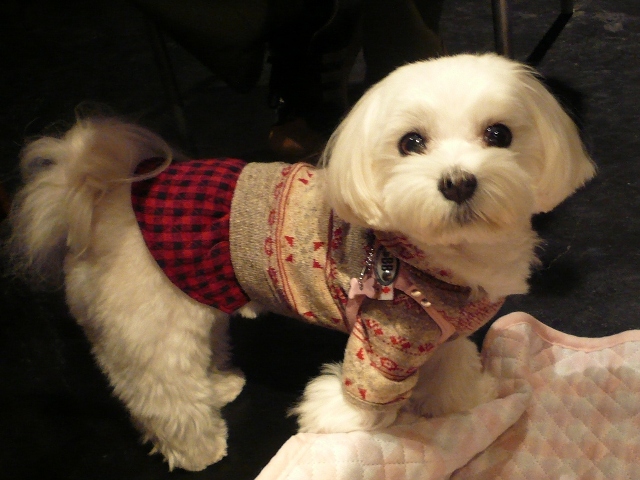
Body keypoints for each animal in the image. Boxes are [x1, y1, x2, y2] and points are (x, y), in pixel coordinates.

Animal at [7, 54, 595, 471]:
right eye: (411, 142)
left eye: (499, 134)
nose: (457, 182)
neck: (444, 256)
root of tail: (101, 192)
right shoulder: (383, 339)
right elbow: (365, 391)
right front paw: (339, 415)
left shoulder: (437, 332)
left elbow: (452, 371)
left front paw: (464, 400)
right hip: (149, 330)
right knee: (161, 392)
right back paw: (198, 449)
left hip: (196, 301)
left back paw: (219, 387)